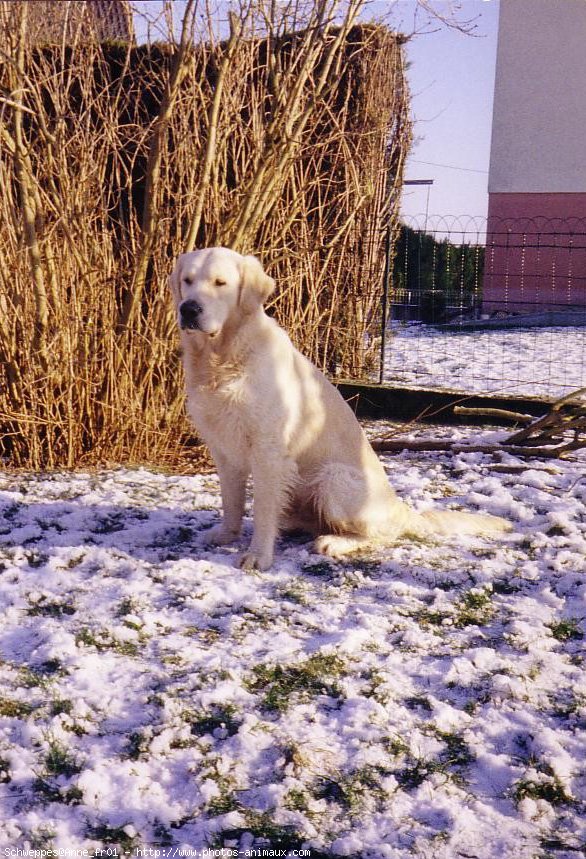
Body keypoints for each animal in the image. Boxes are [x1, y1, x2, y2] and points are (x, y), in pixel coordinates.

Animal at [168, 249, 506, 572]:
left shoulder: (268, 449)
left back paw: (333, 541)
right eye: (187, 280)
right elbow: (231, 501)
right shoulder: (223, 447)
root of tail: (399, 507)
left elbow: (263, 508)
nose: (189, 309)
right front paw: (227, 534)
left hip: (333, 478)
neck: (221, 357)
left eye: (220, 283)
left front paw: (258, 555)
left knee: (377, 534)